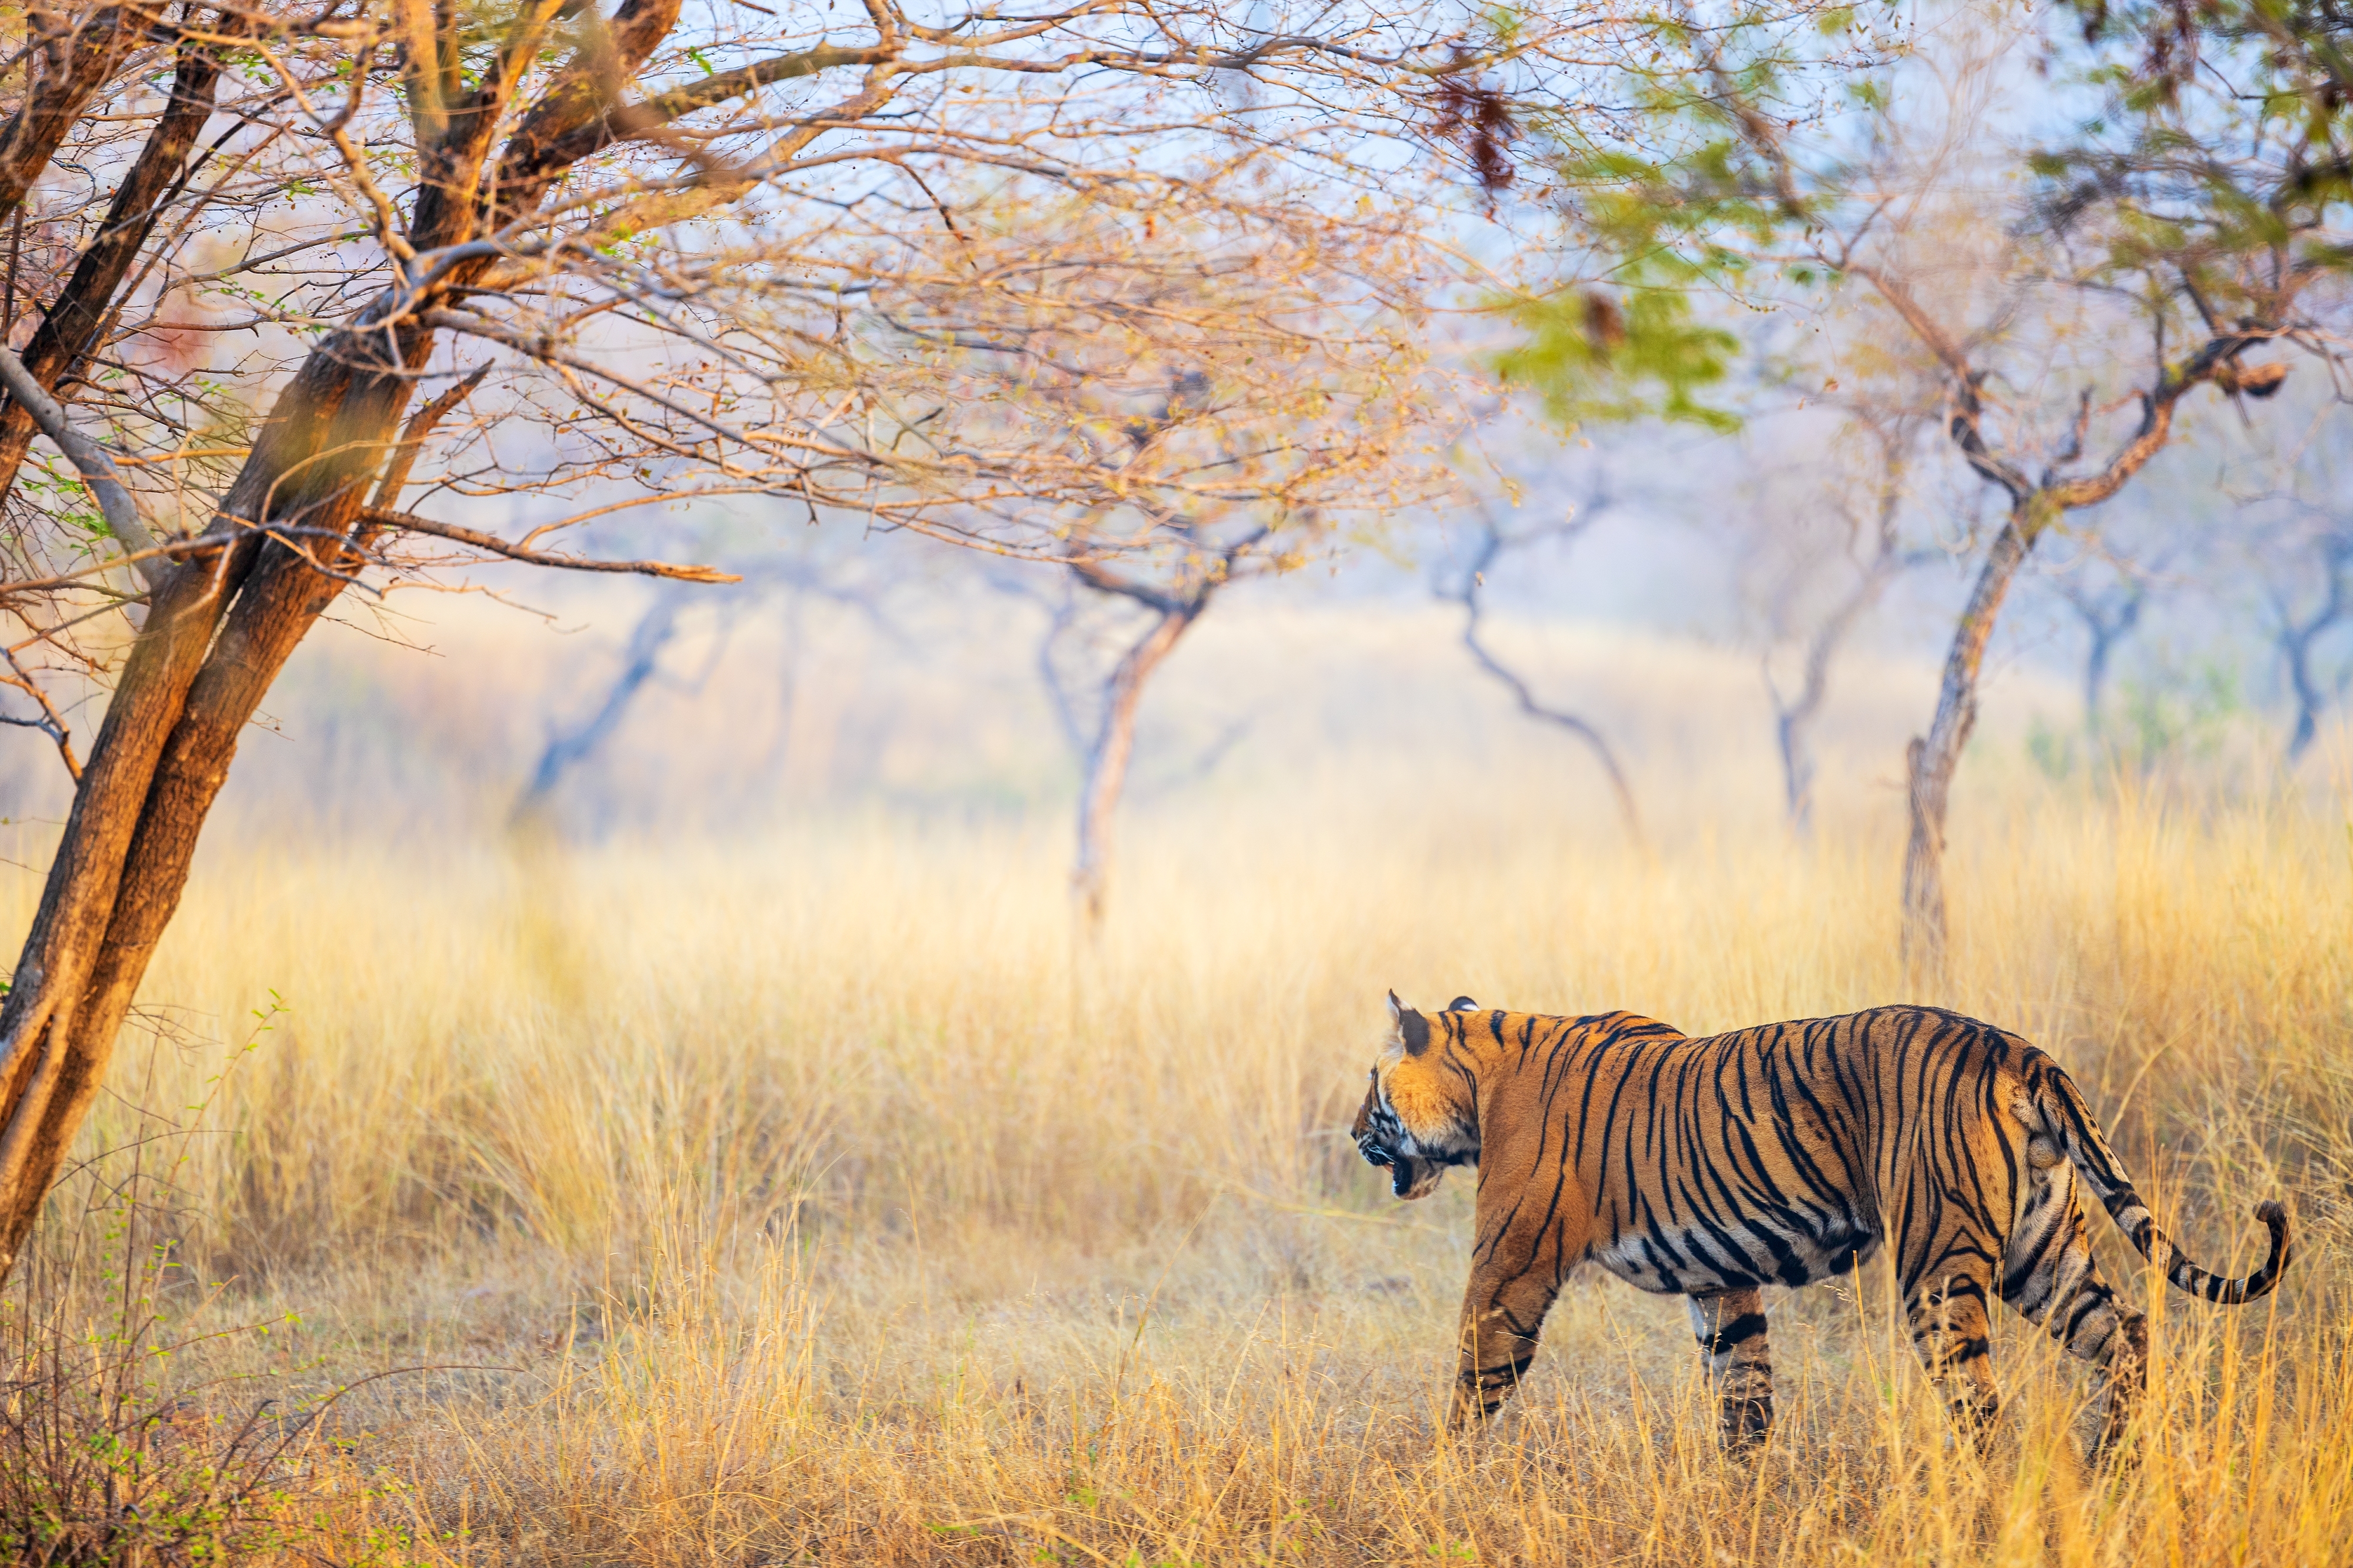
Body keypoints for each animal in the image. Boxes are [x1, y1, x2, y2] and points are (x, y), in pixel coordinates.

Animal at [1350, 993, 2292, 1457]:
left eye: (1371, 1082)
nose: (1355, 1131)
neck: (1480, 1080)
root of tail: (2018, 1049)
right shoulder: (1719, 1275)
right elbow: (1744, 1390)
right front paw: (1741, 1494)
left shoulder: (1510, 1266)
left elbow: (1473, 1379)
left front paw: (1439, 1478)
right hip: (2042, 1252)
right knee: (2125, 1332)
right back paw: (2114, 1464)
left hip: (1938, 1268)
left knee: (1984, 1402)